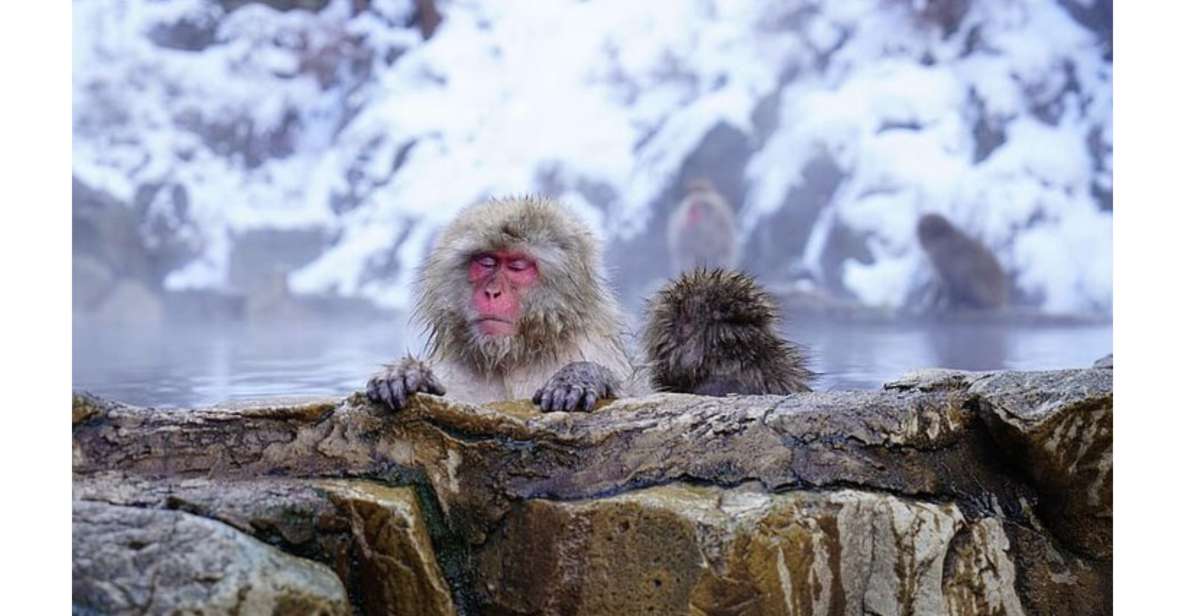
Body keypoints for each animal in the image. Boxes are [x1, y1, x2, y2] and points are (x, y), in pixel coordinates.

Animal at [366, 196, 637, 413]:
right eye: (486, 261)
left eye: (517, 266)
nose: (492, 292)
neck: (512, 357)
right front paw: (407, 373)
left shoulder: (595, 348)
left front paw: (580, 377)